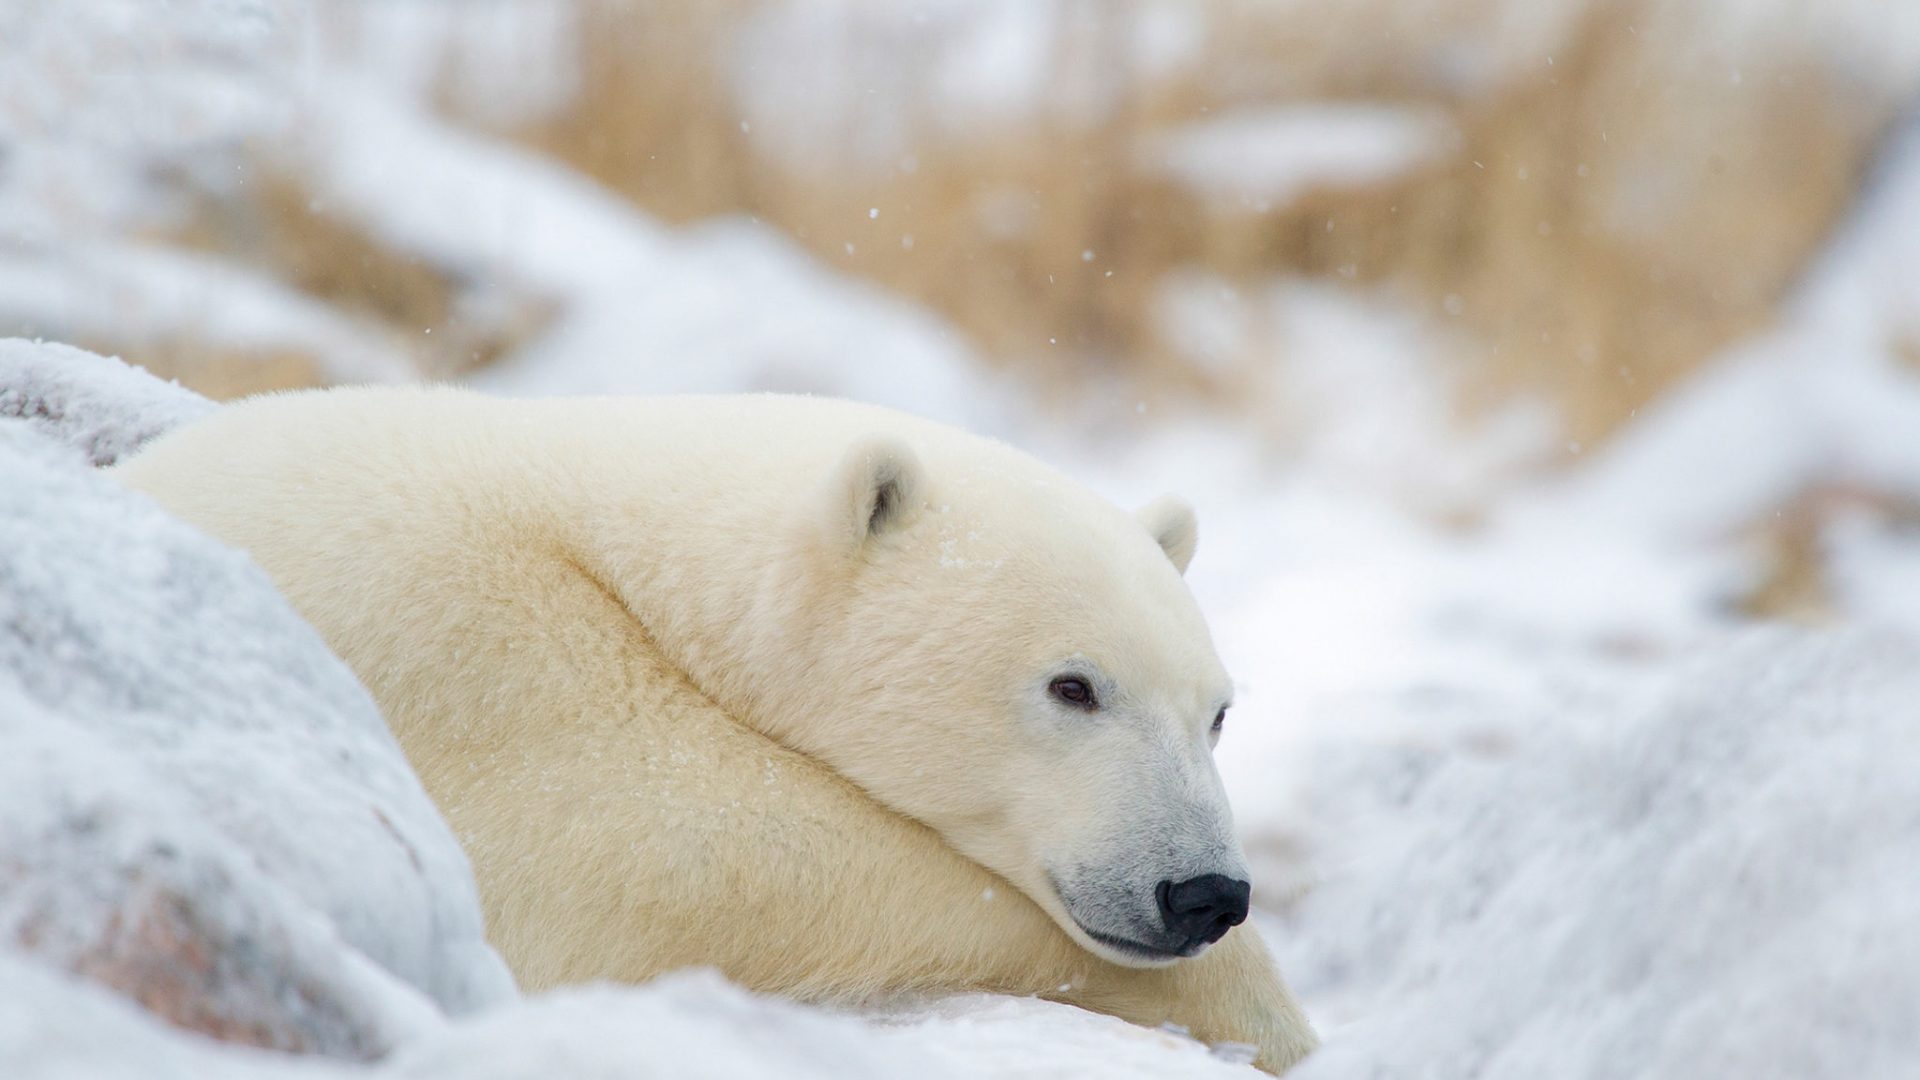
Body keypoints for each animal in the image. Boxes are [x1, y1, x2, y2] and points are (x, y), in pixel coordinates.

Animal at [114, 386, 1318, 1072]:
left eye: (1217, 712)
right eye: (1075, 687)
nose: (1204, 892)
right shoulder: (462, 636)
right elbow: (661, 857)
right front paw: (1259, 1009)